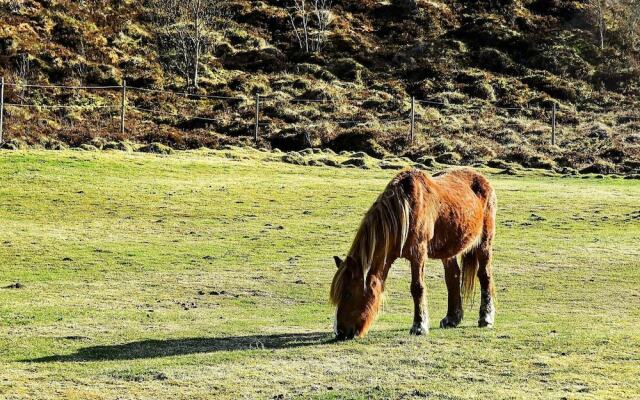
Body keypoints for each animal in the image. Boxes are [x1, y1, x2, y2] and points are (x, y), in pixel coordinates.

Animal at [332, 167, 498, 340]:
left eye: (348, 294)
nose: (340, 332)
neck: (404, 210)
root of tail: (482, 179)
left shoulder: (418, 253)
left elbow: (417, 288)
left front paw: (419, 326)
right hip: (449, 250)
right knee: (453, 277)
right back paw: (452, 318)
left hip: (485, 242)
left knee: (485, 275)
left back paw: (486, 317)